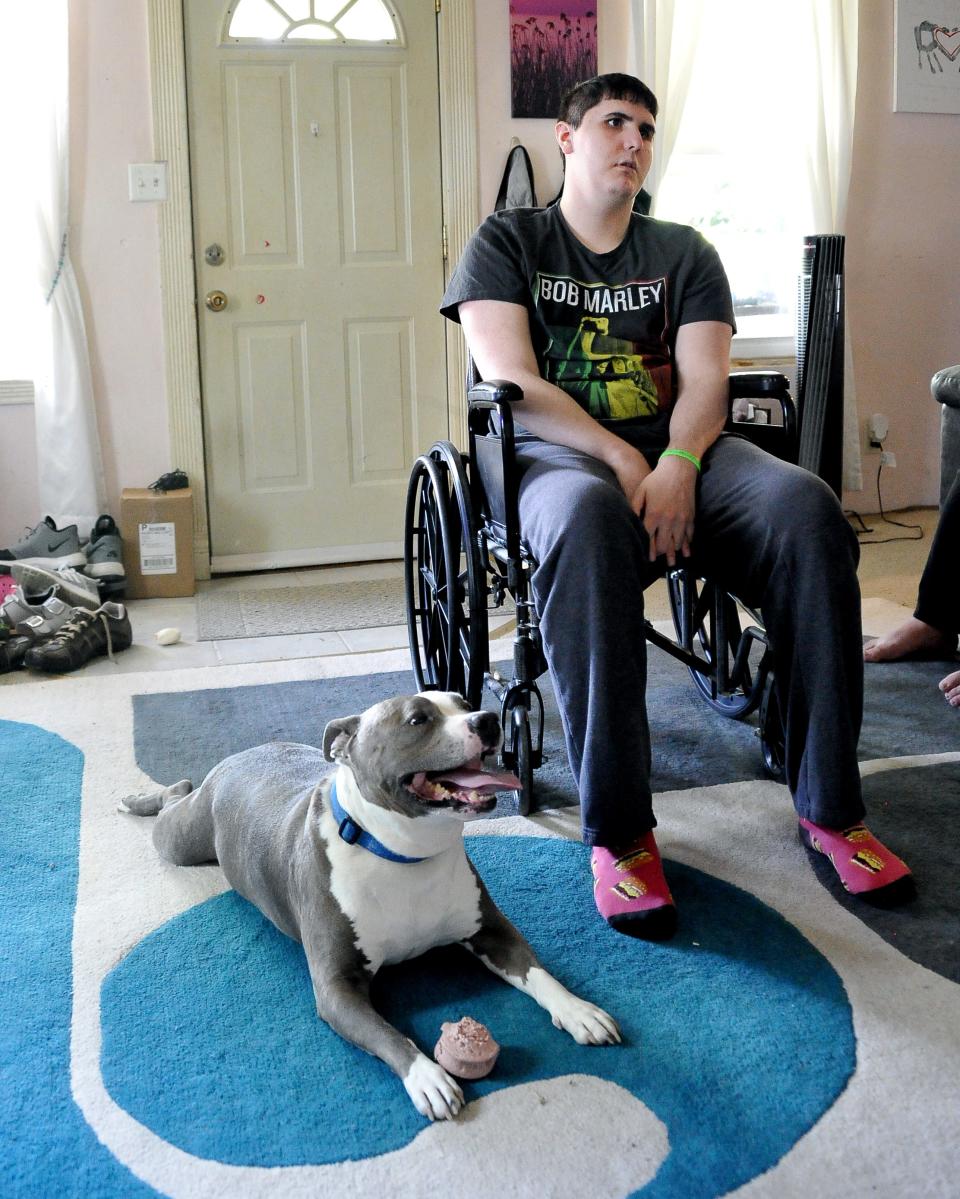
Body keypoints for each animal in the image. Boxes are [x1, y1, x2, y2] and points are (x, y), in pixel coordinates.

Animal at [121, 690, 623, 1117]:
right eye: (418, 719)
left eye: (464, 702)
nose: (486, 719)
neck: (404, 855)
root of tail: (242, 754)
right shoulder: (337, 988)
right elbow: (389, 1034)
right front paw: (428, 1078)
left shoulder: (491, 931)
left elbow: (537, 971)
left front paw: (578, 1009)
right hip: (182, 836)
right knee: (171, 803)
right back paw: (142, 797)